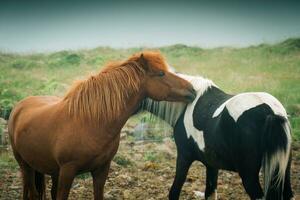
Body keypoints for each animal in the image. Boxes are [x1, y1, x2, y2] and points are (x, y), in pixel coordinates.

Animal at [7, 51, 197, 200]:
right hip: (25, 165)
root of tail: (20, 106)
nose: (192, 90)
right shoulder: (68, 171)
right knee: (32, 192)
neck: (91, 123)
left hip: (51, 170)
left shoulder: (101, 170)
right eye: (160, 74)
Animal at [140, 74, 292, 200]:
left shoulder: (184, 156)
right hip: (282, 171)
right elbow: (210, 194)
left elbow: (174, 192)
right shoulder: (212, 164)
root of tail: (270, 112)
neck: (186, 105)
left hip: (249, 176)